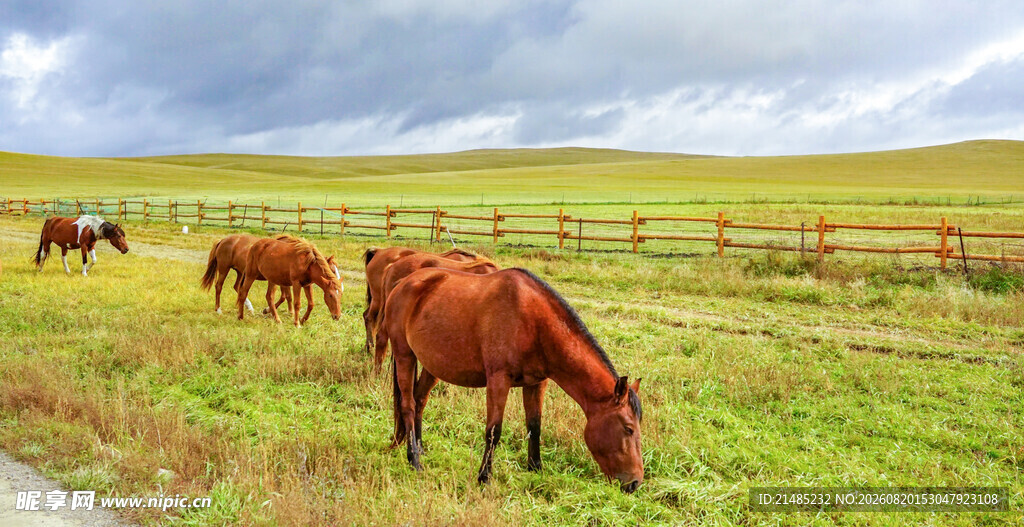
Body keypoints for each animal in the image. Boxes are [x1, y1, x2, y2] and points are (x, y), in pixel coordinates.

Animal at [200, 234, 342, 317]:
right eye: (332, 270)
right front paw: (276, 311)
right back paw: (218, 309)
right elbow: (286, 296)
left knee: (238, 288)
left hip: (240, 272)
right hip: (224, 269)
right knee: (219, 286)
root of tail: (222, 240)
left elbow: (284, 297)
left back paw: (249, 308)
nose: (339, 286)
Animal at [376, 267, 644, 492]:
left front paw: (535, 468)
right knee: (408, 405)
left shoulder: (536, 383)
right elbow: (494, 431)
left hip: (432, 365)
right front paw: (484, 477)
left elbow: (534, 426)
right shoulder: (498, 380)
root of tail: (402, 283)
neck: (533, 321)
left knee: (420, 400)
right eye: (628, 428)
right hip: (405, 356)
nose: (635, 482)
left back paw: (419, 447)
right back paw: (414, 460)